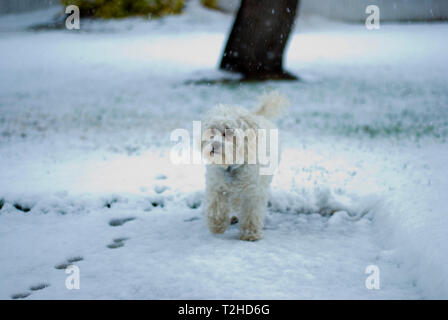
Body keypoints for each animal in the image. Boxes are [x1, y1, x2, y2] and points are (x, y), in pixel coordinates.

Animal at [201, 90, 288, 240]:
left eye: (228, 132)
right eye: (212, 131)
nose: (214, 145)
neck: (232, 165)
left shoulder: (253, 191)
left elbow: (251, 212)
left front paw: (250, 233)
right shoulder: (217, 186)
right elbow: (216, 206)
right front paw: (217, 225)